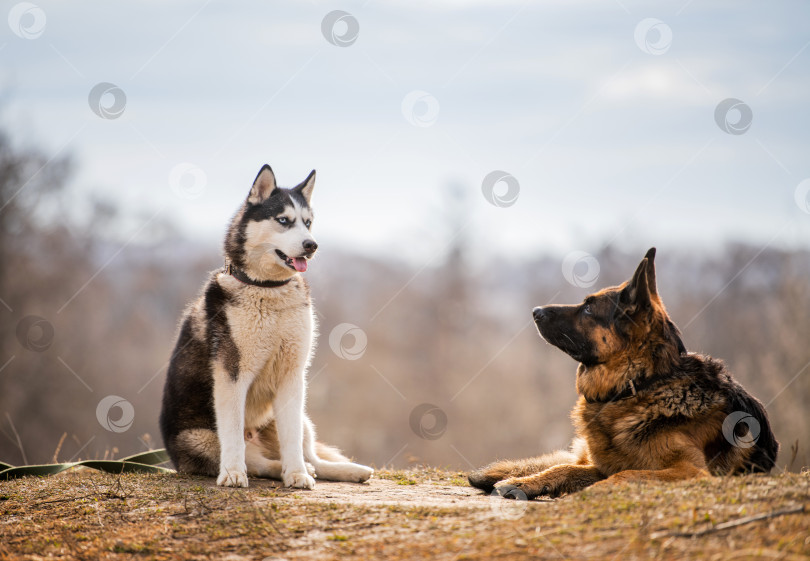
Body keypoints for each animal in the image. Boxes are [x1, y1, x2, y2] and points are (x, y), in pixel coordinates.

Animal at [161, 165, 376, 486]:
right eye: (283, 220)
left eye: (308, 223)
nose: (312, 245)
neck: (267, 289)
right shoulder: (232, 375)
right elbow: (233, 437)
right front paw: (233, 474)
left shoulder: (293, 375)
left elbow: (292, 441)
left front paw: (297, 474)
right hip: (200, 439)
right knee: (258, 463)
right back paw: (269, 469)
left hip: (297, 418)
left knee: (308, 454)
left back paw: (335, 470)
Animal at [468, 247, 776, 496]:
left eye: (588, 309)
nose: (535, 311)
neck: (636, 385)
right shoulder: (600, 464)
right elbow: (565, 468)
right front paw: (523, 483)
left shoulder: (691, 470)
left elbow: (625, 474)